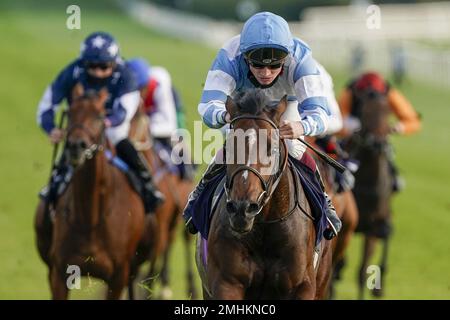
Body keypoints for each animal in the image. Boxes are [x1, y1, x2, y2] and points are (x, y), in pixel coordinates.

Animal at [36, 84, 148, 298]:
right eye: (70, 112)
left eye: (99, 115)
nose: (76, 146)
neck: (91, 218)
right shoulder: (59, 272)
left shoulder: (118, 277)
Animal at [198, 90, 334, 300]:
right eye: (230, 147)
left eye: (272, 148)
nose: (242, 209)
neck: (264, 226)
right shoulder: (226, 282)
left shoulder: (302, 287)